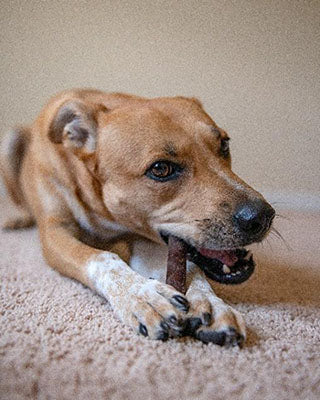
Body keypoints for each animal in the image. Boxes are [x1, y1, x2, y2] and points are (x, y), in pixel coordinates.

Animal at [0, 89, 276, 346]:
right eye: (161, 169)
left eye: (224, 144)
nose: (262, 216)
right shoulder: (55, 233)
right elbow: (102, 259)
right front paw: (143, 296)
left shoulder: (146, 237)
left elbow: (188, 267)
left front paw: (210, 302)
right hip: (9, 141)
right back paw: (16, 218)